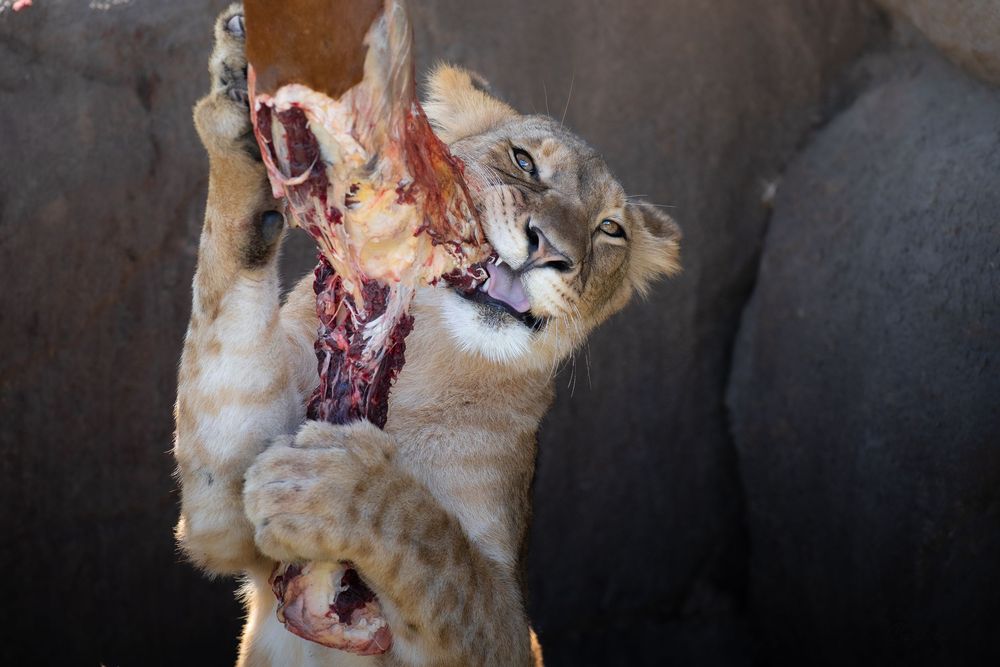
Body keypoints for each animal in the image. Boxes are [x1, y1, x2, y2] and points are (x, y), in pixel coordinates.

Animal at [173, 4, 681, 666]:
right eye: (524, 161)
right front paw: (239, 101)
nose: (550, 250)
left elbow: (433, 543)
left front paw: (332, 485)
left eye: (610, 229)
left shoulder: (511, 634)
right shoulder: (224, 521)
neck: (426, 365)